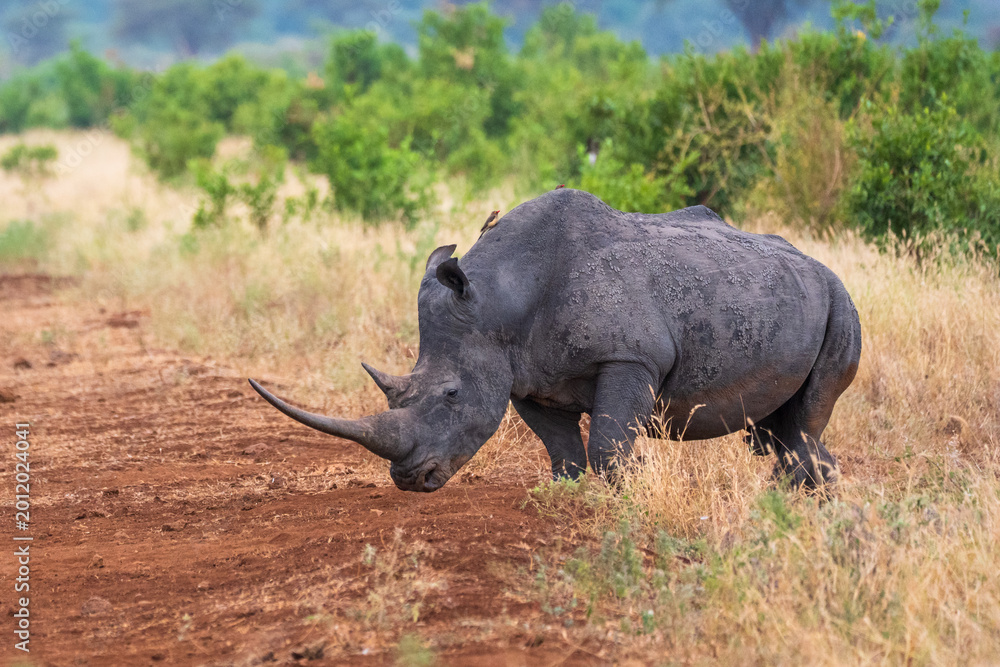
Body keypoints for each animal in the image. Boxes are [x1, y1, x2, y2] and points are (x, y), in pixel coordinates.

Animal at [250, 189, 861, 492]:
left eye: (451, 395)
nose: (409, 481)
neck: (499, 299)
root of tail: (819, 265)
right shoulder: (524, 374)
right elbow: (561, 448)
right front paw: (564, 494)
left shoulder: (629, 357)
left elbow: (609, 445)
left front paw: (621, 497)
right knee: (780, 430)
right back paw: (802, 498)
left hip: (840, 302)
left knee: (805, 420)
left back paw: (792, 500)